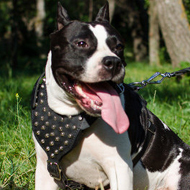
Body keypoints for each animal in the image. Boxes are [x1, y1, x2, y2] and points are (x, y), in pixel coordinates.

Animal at [31, 1, 190, 190]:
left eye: (119, 47)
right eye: (81, 43)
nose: (113, 62)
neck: (73, 116)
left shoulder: (119, 168)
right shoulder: (44, 170)